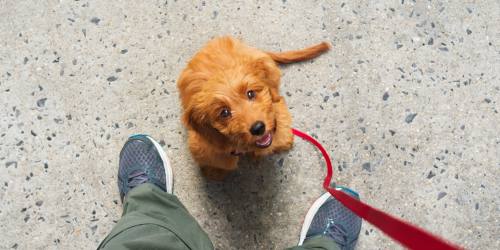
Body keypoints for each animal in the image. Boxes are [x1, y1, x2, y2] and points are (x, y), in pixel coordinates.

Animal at [178, 36, 330, 180]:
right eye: (224, 112)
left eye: (250, 93)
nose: (258, 128)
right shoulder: (206, 146)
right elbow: (218, 161)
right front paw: (214, 172)